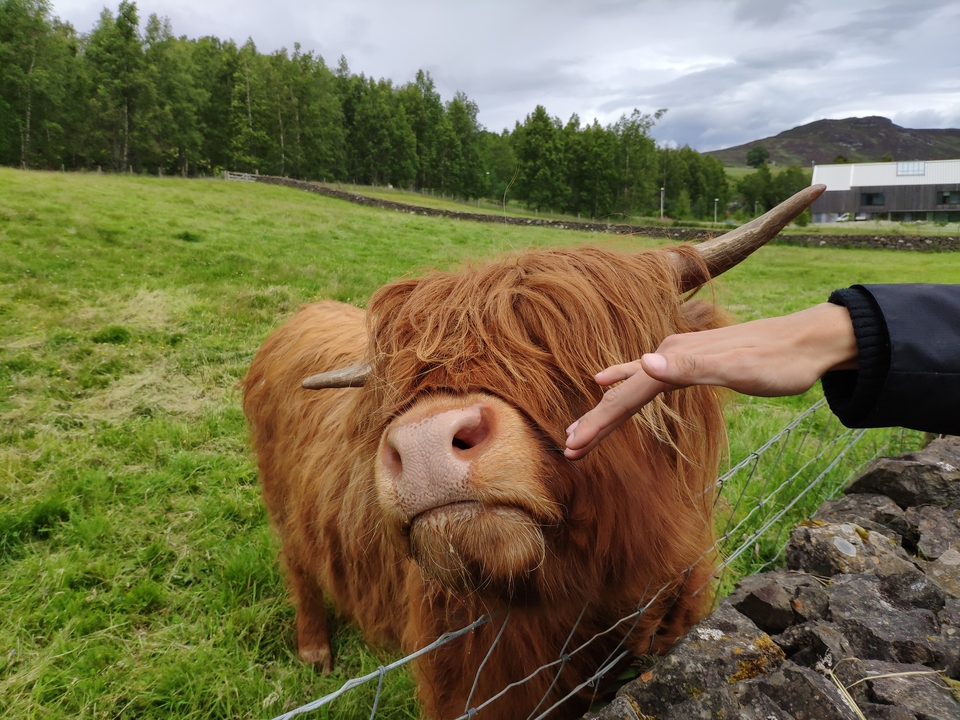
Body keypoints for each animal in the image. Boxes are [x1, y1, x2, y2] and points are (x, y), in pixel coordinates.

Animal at [242, 186, 824, 719]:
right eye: (399, 388)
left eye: (568, 355)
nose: (423, 441)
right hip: (283, 509)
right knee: (298, 564)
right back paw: (315, 650)